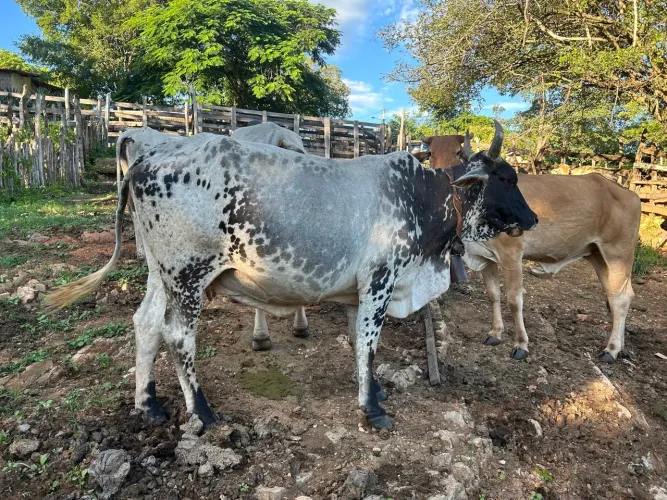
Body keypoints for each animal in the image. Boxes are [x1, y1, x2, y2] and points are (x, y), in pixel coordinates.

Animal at [46, 121, 537, 430]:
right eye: (506, 179)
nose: (532, 219)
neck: (421, 195)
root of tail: (146, 159)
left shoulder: (358, 293)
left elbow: (362, 345)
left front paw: (374, 390)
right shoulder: (379, 282)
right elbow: (368, 344)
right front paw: (371, 410)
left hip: (159, 271)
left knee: (145, 323)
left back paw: (147, 405)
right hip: (188, 277)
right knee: (177, 336)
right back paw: (202, 412)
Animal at [422, 135, 641, 361]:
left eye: (457, 152)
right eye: (430, 153)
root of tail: (628, 193)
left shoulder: (511, 256)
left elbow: (513, 300)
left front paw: (521, 344)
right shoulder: (487, 258)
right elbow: (493, 294)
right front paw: (495, 333)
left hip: (618, 254)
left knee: (621, 299)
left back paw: (611, 349)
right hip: (598, 255)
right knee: (616, 295)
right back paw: (619, 346)